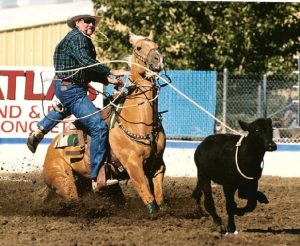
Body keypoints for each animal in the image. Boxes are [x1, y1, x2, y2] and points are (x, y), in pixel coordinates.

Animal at [42, 31, 166, 214]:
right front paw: (153, 213)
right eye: (138, 47)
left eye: (156, 45)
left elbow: (159, 195)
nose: (158, 59)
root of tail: (50, 150)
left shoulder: (158, 164)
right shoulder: (133, 165)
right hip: (64, 181)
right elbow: (147, 194)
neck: (141, 123)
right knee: (73, 200)